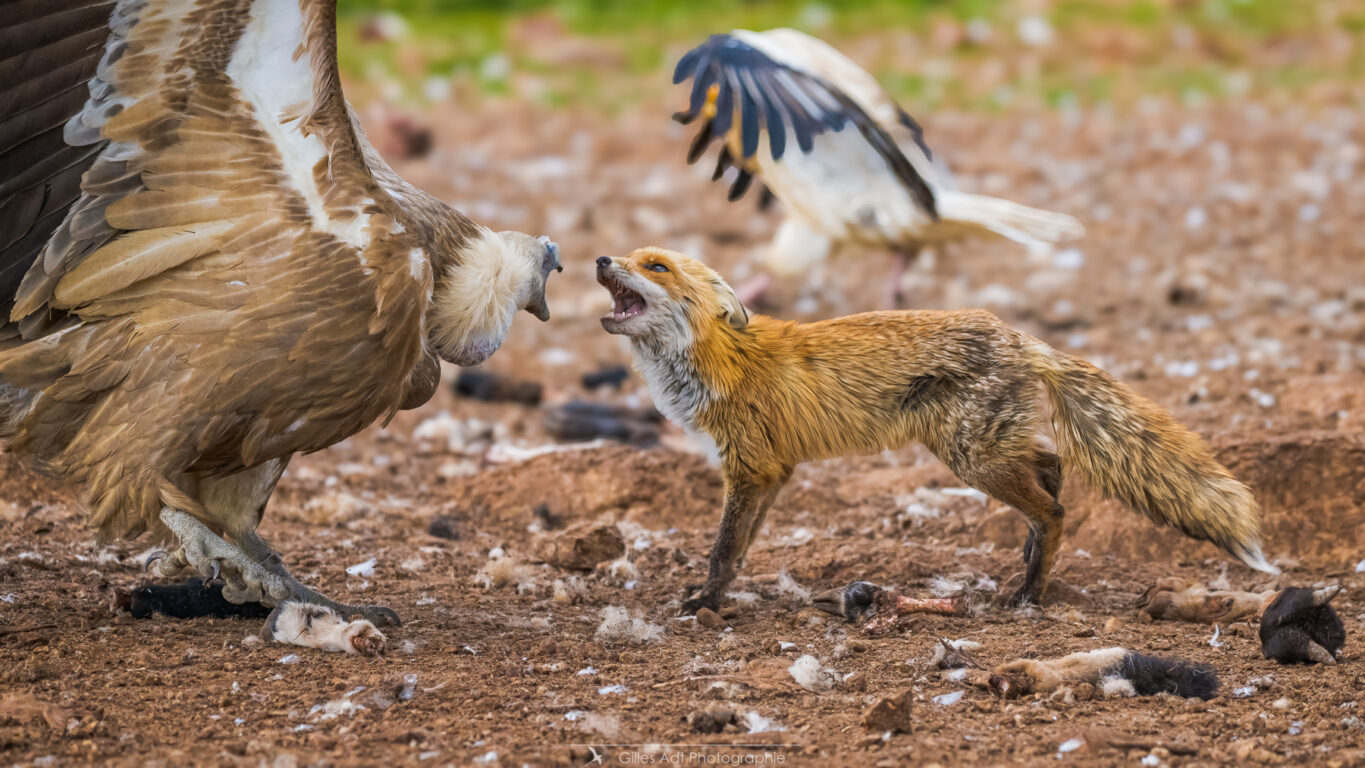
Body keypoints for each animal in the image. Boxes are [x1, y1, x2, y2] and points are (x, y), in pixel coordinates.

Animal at [597, 246, 1277, 613]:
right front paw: (721, 596)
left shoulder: (749, 467)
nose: (600, 258)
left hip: (971, 457)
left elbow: (720, 549)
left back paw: (1030, 591)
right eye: (628, 257)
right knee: (1052, 470)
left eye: (655, 266)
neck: (717, 358)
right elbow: (738, 549)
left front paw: (705, 604)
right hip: (981, 447)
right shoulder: (771, 469)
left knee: (1053, 508)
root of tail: (1021, 338)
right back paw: (1031, 559)